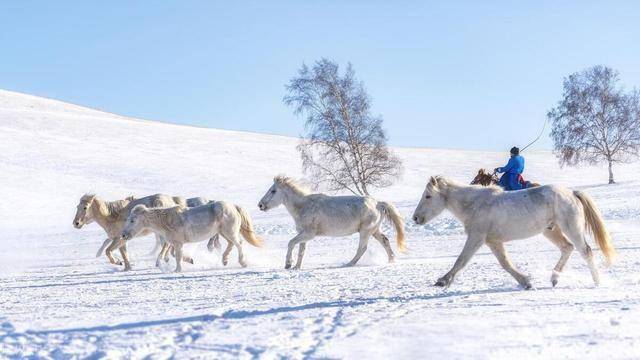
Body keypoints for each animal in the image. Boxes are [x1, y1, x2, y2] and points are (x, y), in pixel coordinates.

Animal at [120, 201, 262, 272]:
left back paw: (243, 263)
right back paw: (225, 260)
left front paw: (177, 270)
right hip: (223, 233)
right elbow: (173, 254)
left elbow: (177, 256)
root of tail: (233, 206)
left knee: (239, 244)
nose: (123, 234)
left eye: (132, 220)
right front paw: (189, 260)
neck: (166, 221)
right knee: (231, 244)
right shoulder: (174, 243)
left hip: (229, 232)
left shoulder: (177, 243)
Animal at [256, 176, 402, 268]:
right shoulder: (303, 235)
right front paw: (296, 267)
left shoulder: (309, 234)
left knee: (362, 248)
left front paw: (288, 264)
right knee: (385, 241)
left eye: (273, 191)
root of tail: (378, 203)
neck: (304, 206)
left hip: (365, 231)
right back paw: (391, 261)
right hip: (375, 230)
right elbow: (301, 251)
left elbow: (291, 243)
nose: (260, 205)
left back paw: (349, 264)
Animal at [410, 177, 616, 290]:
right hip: (551, 231)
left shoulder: (476, 237)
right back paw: (554, 279)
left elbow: (461, 260)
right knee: (567, 248)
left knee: (585, 251)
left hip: (571, 228)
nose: (415, 218)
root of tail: (572, 193)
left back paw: (597, 282)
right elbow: (505, 263)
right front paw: (526, 282)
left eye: (428, 196)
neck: (475, 204)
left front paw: (442, 281)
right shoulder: (492, 241)